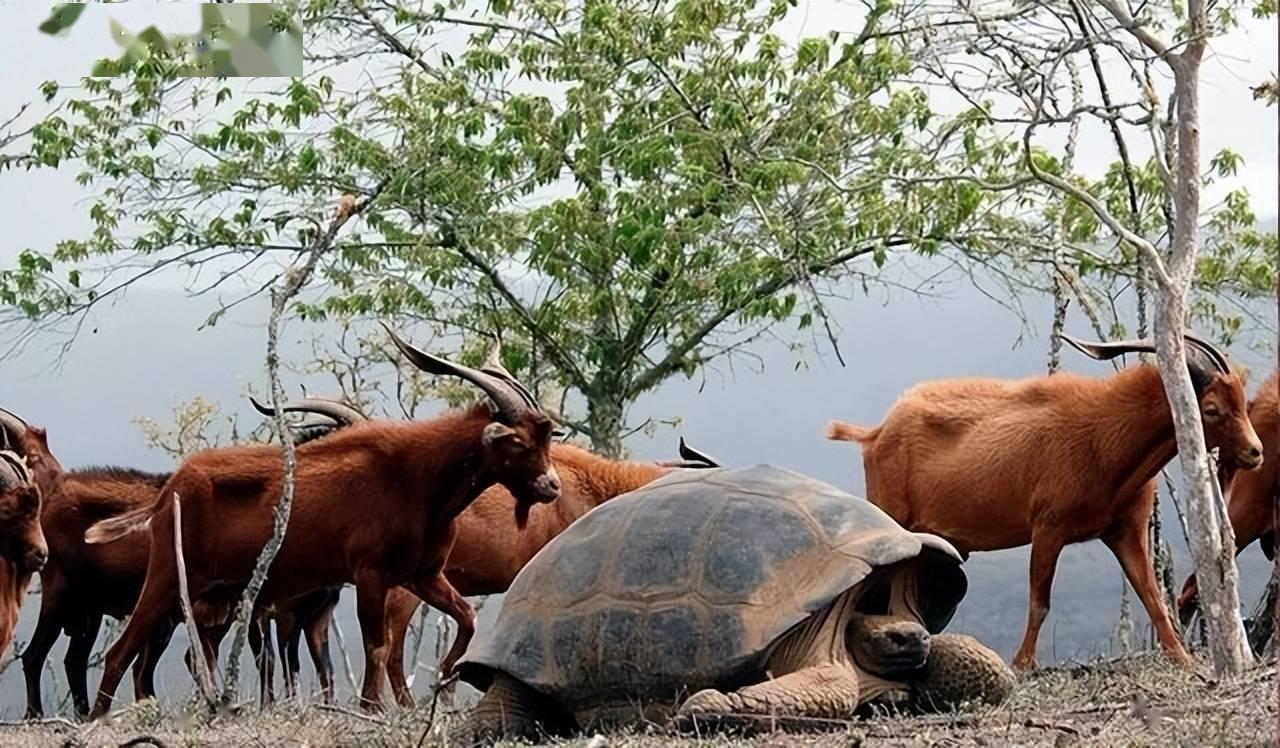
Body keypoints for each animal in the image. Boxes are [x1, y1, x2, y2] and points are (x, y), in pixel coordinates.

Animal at [80, 330, 560, 717]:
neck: (418, 478)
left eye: (544, 436)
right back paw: (99, 721)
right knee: (120, 653)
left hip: (211, 595)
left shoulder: (423, 575)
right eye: (518, 442)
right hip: (168, 578)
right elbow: (377, 645)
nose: (551, 486)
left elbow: (466, 618)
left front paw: (444, 676)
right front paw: (371, 709)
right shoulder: (369, 574)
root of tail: (171, 489)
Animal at [829, 335, 1259, 671]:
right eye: (1212, 409)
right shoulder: (1049, 527)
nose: (1255, 452)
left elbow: (1151, 596)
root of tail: (875, 433)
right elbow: (1040, 601)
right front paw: (1022, 664)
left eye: (1243, 400)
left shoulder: (1124, 530)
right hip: (889, 515)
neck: (1105, 437)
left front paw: (1182, 659)